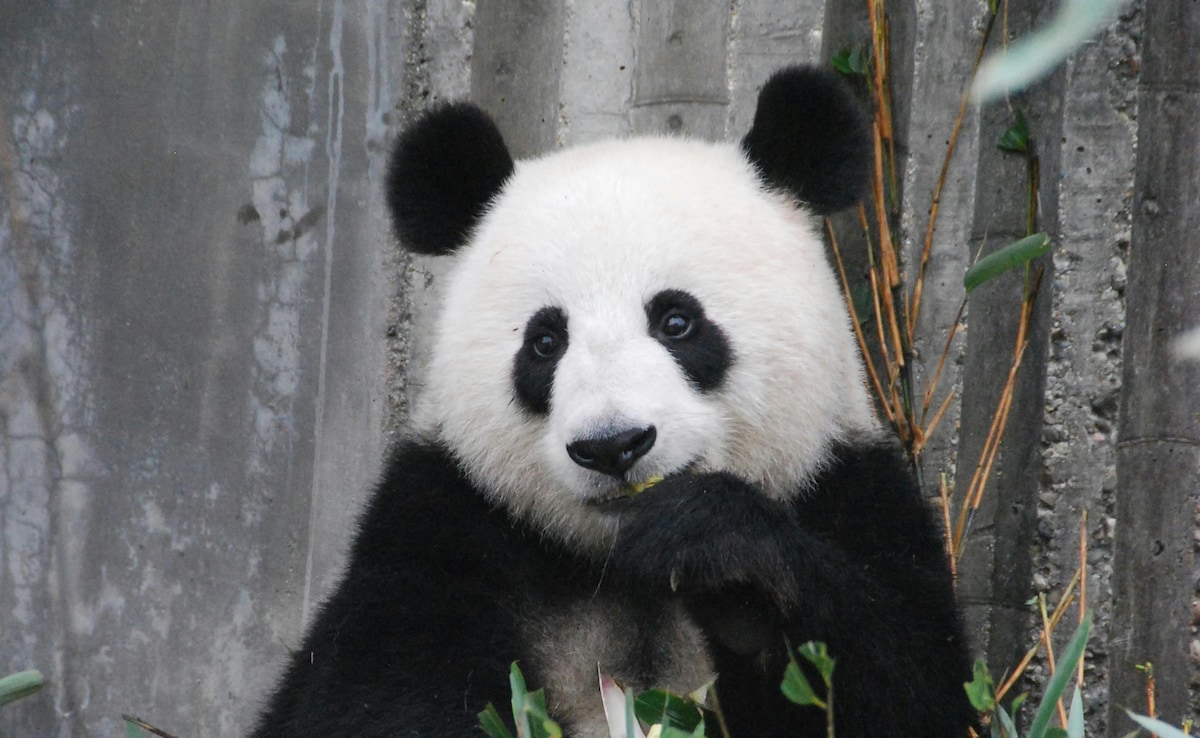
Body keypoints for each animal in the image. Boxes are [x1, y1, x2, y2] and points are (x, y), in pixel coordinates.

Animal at [249, 66, 974, 738]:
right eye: (545, 342)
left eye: (677, 322)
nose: (612, 445)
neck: (615, 563)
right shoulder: (440, 526)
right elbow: (373, 696)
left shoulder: (849, 488)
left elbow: (908, 679)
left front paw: (722, 561)